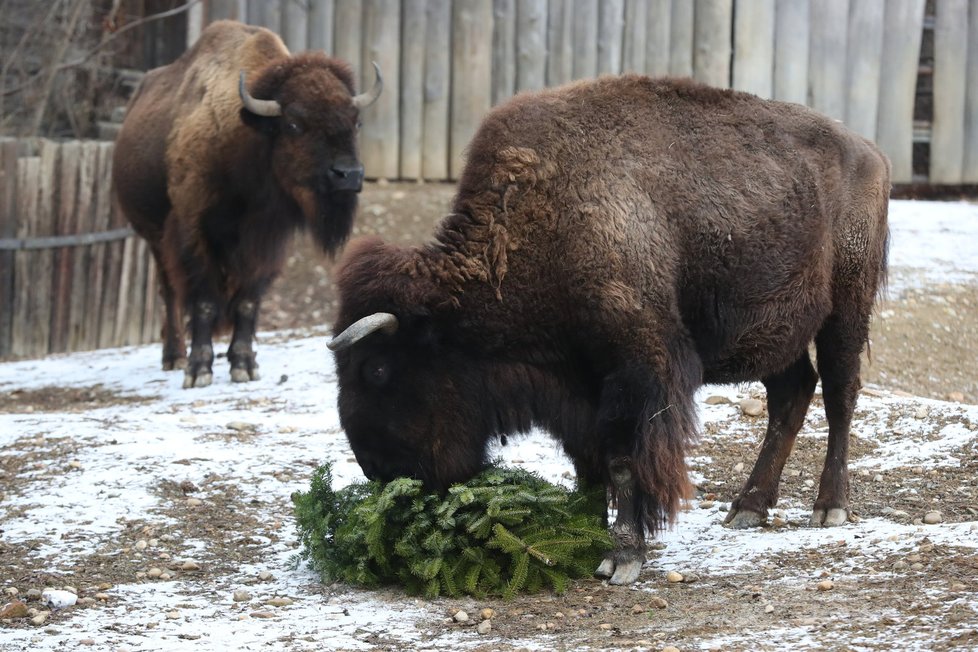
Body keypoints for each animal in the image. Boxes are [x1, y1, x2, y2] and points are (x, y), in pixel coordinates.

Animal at [114, 19, 382, 388]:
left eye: (356, 121)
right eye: (294, 124)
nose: (348, 175)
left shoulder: (266, 241)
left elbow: (248, 301)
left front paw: (243, 364)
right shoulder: (194, 234)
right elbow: (203, 301)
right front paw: (199, 370)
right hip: (153, 237)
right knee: (169, 292)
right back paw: (174, 356)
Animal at [330, 75, 892, 584]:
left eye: (376, 368)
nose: (376, 467)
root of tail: (870, 152)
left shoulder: (636, 370)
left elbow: (621, 458)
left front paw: (621, 557)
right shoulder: (578, 386)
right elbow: (588, 461)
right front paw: (580, 538)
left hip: (846, 307)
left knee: (839, 394)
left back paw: (829, 507)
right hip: (776, 332)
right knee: (791, 394)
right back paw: (749, 507)